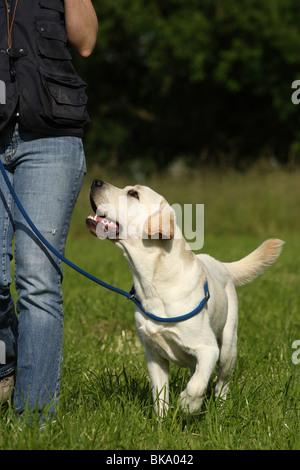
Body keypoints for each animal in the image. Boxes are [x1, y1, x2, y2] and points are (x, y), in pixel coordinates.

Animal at [85, 179, 284, 414]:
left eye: (133, 193)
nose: (96, 181)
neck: (153, 284)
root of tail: (221, 263)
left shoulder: (208, 349)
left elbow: (197, 386)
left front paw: (188, 405)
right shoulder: (154, 356)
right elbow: (160, 397)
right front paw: (163, 421)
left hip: (228, 348)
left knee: (222, 383)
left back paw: (220, 409)